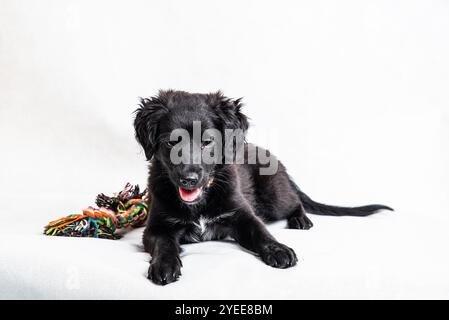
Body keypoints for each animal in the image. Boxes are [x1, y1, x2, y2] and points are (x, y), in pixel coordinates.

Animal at [132, 90, 388, 284]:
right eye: (171, 143)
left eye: (207, 142)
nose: (189, 179)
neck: (200, 201)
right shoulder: (156, 227)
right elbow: (165, 244)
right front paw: (164, 265)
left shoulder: (242, 214)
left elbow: (261, 232)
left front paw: (278, 250)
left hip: (274, 196)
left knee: (295, 201)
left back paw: (300, 219)